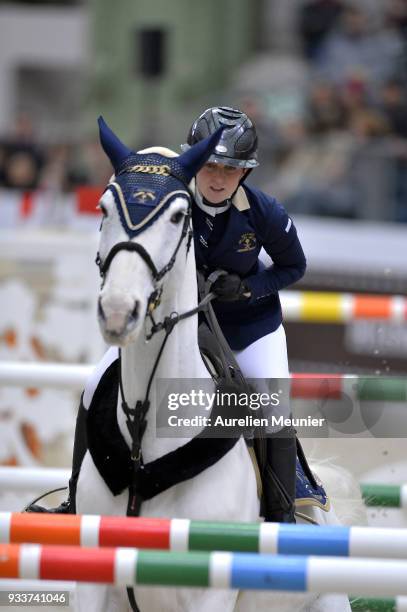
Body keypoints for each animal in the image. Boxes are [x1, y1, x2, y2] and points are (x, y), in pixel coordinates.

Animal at [75, 118, 366, 612]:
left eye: (178, 217)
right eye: (102, 207)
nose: (117, 311)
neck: (146, 442)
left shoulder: (208, 591)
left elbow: (292, 263)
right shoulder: (92, 583)